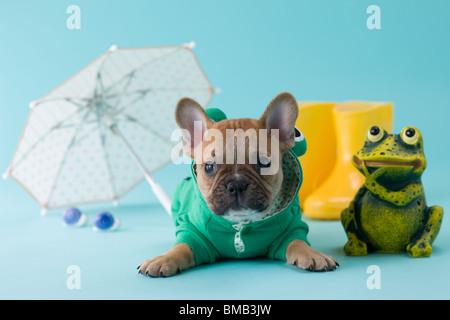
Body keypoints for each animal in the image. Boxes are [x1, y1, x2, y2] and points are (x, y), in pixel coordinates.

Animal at [138, 91, 338, 276]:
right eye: (209, 167)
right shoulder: (193, 233)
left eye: (264, 163)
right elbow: (181, 248)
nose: (236, 184)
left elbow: (297, 242)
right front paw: (163, 259)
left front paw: (313, 254)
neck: (240, 223)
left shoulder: (291, 229)